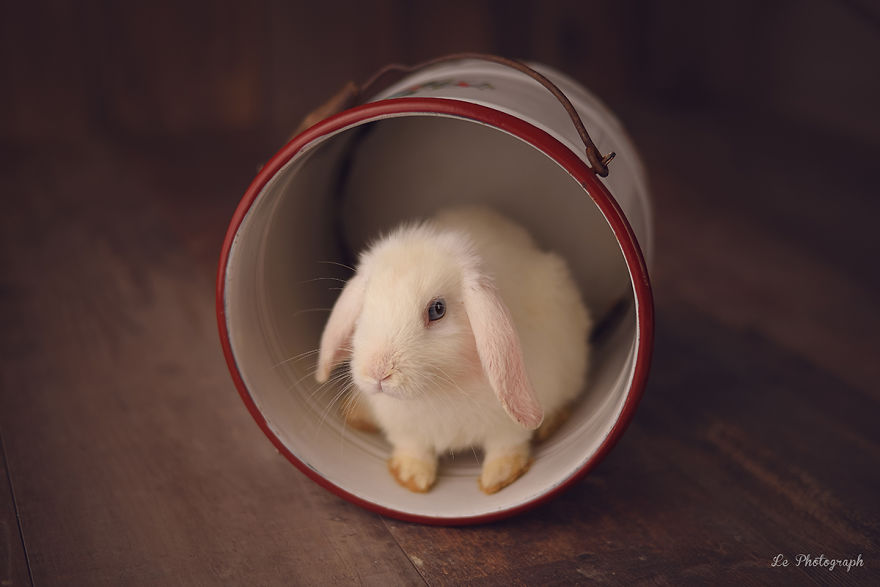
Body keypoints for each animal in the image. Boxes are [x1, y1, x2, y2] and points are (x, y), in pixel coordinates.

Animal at [315, 205, 591, 494]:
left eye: (437, 310)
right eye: (365, 304)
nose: (378, 373)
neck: (439, 388)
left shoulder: (508, 425)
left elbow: (507, 446)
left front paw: (497, 480)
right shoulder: (405, 430)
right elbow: (414, 449)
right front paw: (412, 478)